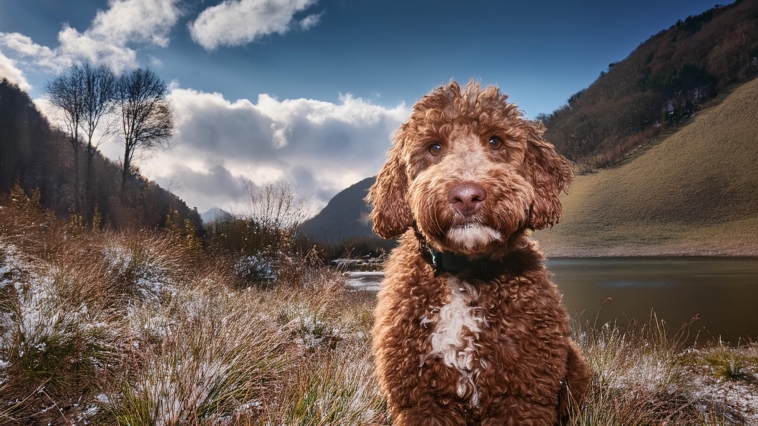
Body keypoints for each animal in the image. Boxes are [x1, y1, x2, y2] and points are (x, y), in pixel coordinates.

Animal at [368, 80, 592, 426]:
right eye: (434, 147)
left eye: (495, 141)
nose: (466, 195)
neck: (465, 271)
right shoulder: (422, 399)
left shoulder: (522, 395)